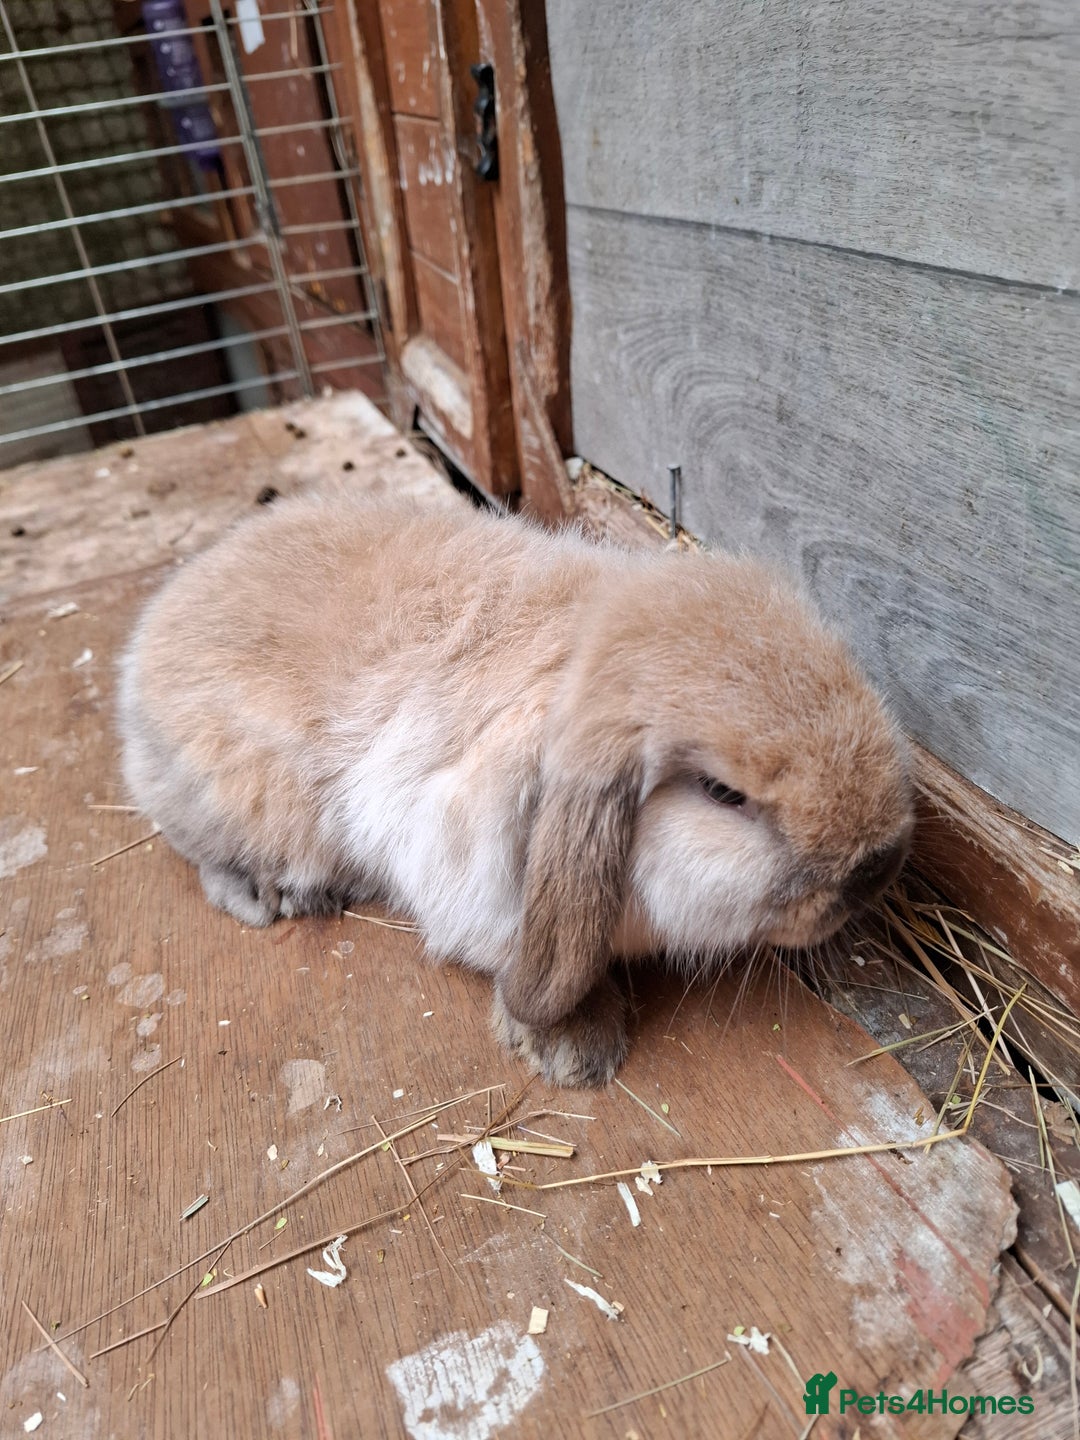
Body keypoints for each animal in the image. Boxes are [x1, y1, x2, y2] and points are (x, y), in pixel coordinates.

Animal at [118, 486, 914, 1087]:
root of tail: (148, 635)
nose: (881, 869)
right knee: (203, 854)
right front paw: (574, 1051)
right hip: (238, 798)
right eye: (724, 795)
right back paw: (275, 896)